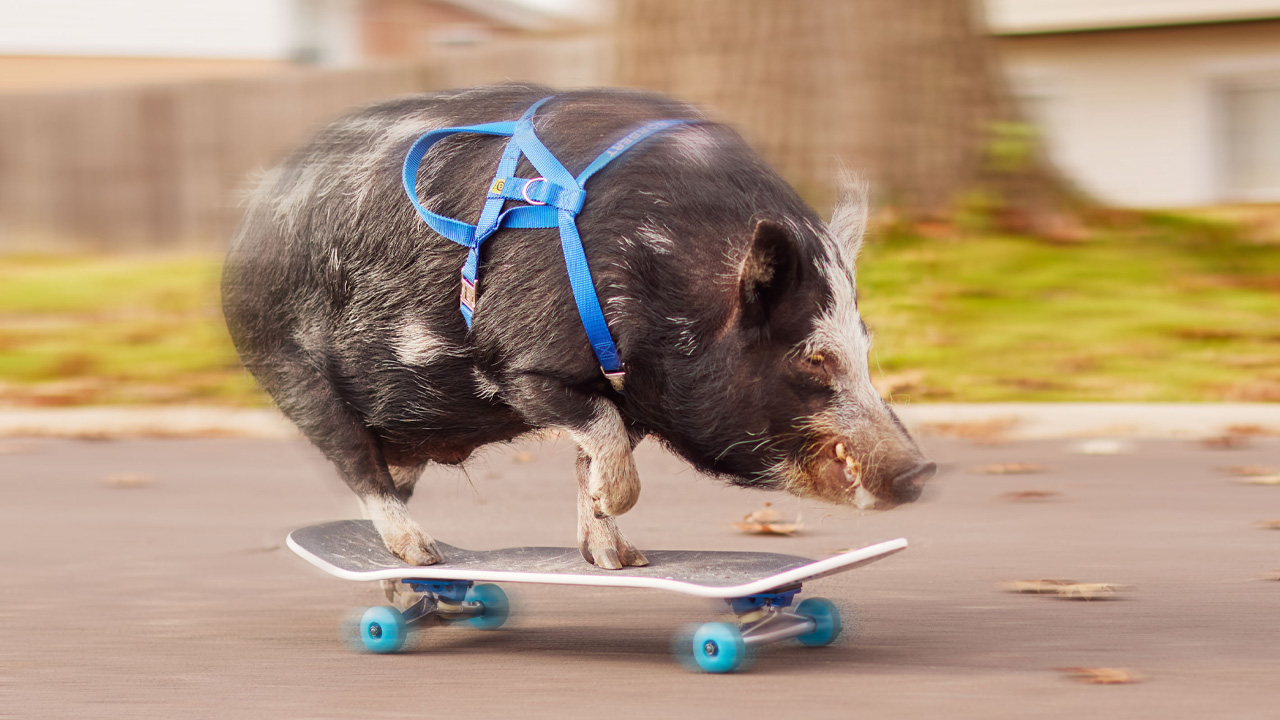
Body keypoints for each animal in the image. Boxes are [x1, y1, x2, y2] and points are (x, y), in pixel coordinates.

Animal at [222, 84, 935, 570]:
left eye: (864, 346)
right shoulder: (524, 365)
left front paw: (624, 560)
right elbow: (604, 439)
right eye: (812, 357)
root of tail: (250, 218)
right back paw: (422, 556)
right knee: (355, 462)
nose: (923, 471)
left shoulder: (629, 393)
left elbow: (594, 452)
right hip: (289, 366)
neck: (670, 275)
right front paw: (615, 514)